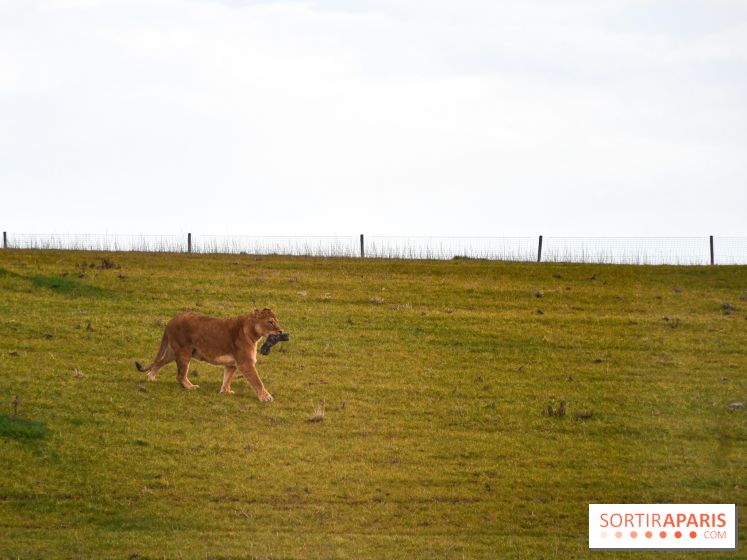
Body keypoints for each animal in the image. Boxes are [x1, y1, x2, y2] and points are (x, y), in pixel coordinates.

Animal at [135, 308, 286, 402]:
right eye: (270, 322)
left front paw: (225, 391)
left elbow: (227, 378)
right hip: (184, 352)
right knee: (180, 376)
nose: (280, 331)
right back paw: (191, 387)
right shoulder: (245, 363)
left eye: (277, 321)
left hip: (173, 351)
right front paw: (266, 397)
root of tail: (171, 320)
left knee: (159, 362)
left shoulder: (232, 364)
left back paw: (151, 377)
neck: (252, 332)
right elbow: (257, 381)